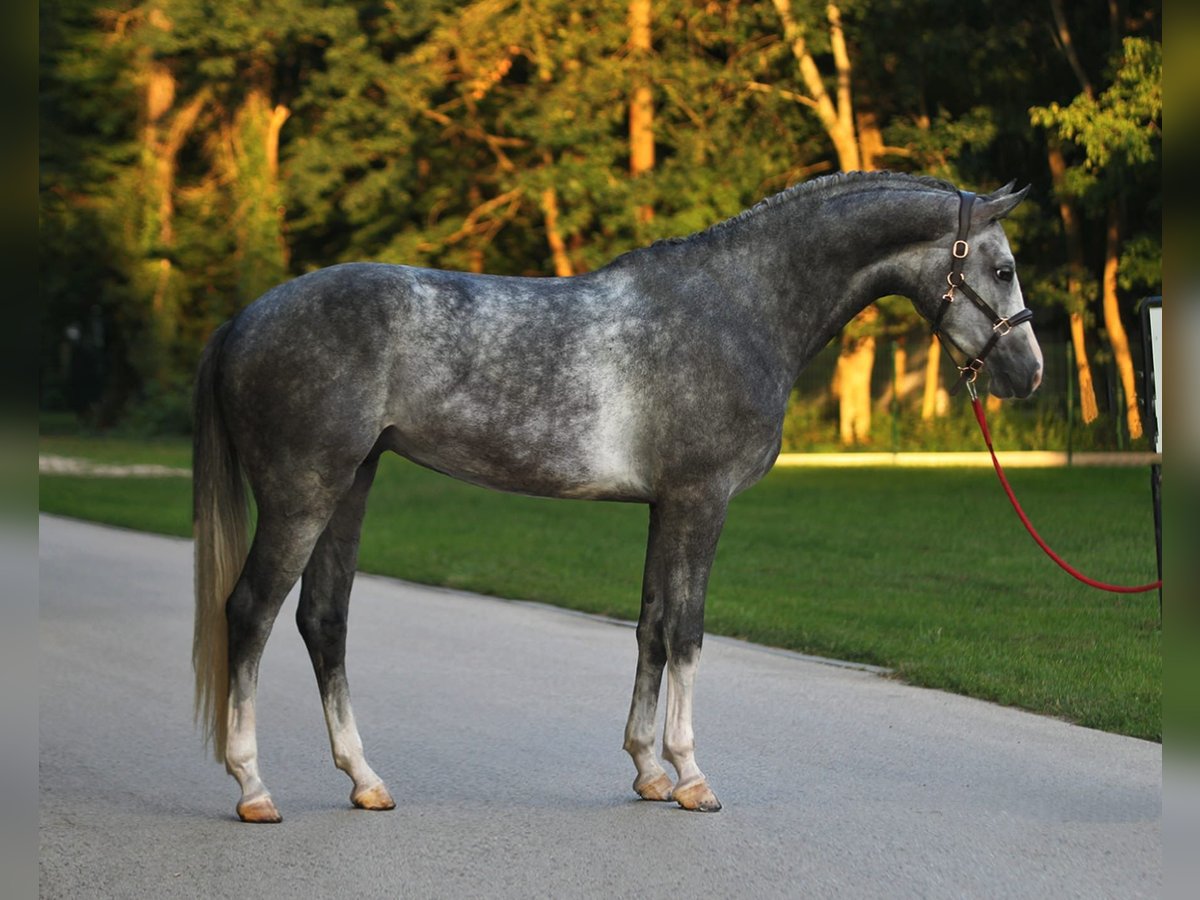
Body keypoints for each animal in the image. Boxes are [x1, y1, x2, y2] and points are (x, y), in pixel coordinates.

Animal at [194, 170, 1041, 825]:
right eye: (1001, 268)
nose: (1028, 372)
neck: (740, 307)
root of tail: (242, 319)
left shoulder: (665, 506)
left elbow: (652, 627)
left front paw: (648, 771)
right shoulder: (702, 500)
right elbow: (689, 632)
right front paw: (692, 778)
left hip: (352, 485)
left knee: (323, 620)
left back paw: (366, 782)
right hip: (304, 495)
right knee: (251, 611)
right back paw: (253, 788)